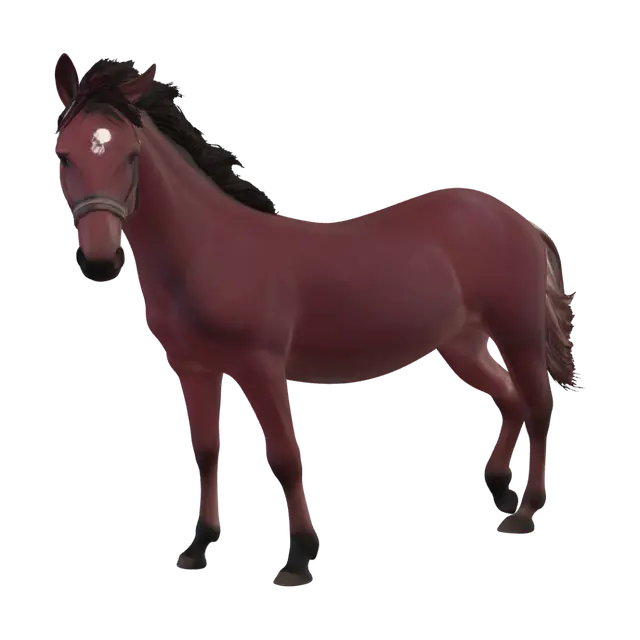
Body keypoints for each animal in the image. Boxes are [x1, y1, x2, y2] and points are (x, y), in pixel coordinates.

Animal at [53, 54, 579, 586]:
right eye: (63, 155)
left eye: (131, 154)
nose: (100, 261)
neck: (207, 252)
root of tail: (519, 220)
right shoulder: (194, 369)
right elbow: (205, 453)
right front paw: (197, 550)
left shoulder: (261, 367)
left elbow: (286, 458)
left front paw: (298, 562)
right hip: (464, 343)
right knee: (510, 398)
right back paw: (501, 490)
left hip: (518, 333)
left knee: (538, 405)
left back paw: (523, 512)